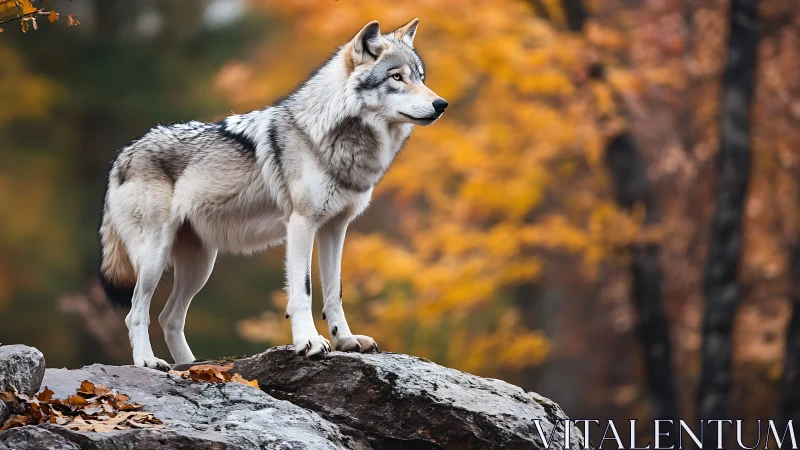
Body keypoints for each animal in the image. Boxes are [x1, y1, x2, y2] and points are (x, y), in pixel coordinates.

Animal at [98, 19, 447, 369]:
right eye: (396, 77)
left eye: (421, 77)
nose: (441, 104)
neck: (326, 137)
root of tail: (121, 156)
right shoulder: (301, 224)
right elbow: (303, 291)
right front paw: (309, 342)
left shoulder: (335, 229)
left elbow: (334, 292)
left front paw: (345, 340)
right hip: (155, 258)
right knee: (136, 312)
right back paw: (147, 361)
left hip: (200, 267)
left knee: (169, 318)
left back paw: (194, 366)